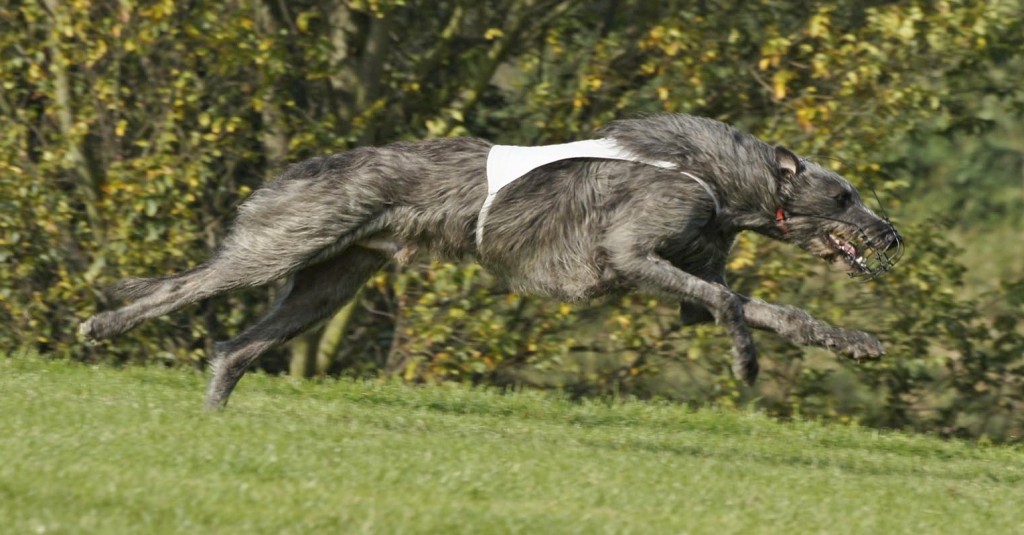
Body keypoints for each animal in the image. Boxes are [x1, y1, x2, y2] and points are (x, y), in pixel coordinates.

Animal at [83, 111, 909, 403]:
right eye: (845, 196)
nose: (894, 233)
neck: (717, 176)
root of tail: (303, 167)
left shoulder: (688, 271)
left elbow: (769, 306)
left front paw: (856, 340)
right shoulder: (631, 252)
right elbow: (730, 301)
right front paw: (744, 361)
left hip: (328, 282)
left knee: (235, 345)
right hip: (280, 243)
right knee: (186, 287)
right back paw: (100, 326)